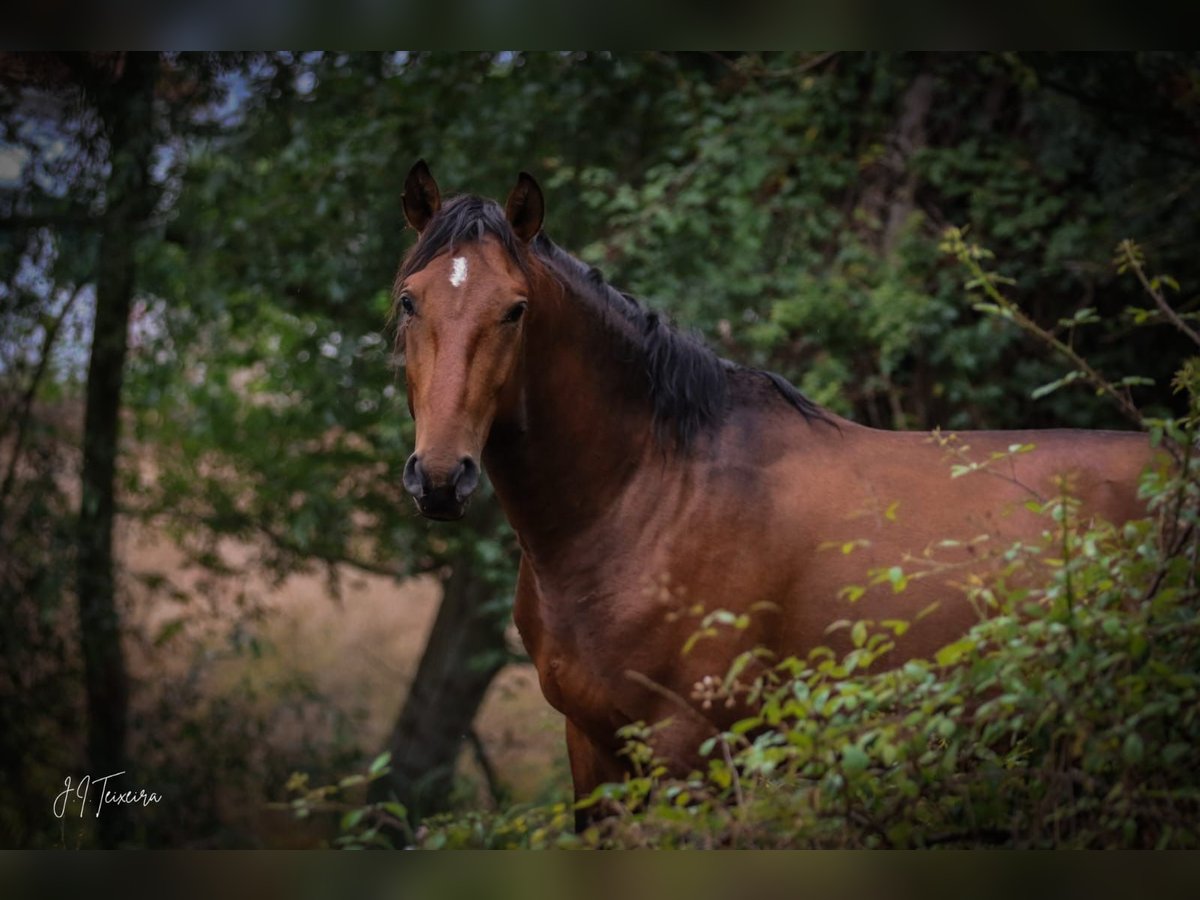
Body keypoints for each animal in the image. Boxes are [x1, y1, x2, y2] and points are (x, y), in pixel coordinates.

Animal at [391, 162, 1152, 825]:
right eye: (408, 300)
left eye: (515, 310)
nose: (441, 478)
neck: (646, 498)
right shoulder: (594, 749)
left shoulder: (692, 749)